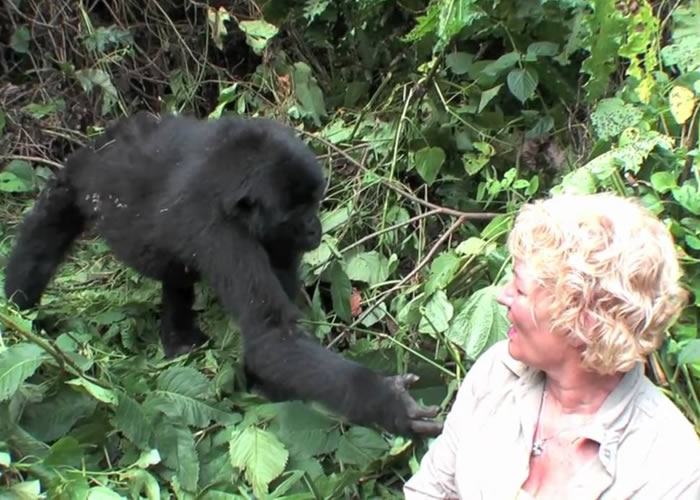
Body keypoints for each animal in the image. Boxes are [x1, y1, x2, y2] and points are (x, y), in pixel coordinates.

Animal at [2, 112, 442, 438]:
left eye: (315, 202)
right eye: (295, 213)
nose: (314, 229)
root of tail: (100, 141)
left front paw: (264, 384)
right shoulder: (220, 232)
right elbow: (272, 335)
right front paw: (386, 402)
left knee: (175, 275)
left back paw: (177, 337)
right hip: (73, 183)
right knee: (43, 239)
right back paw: (17, 316)